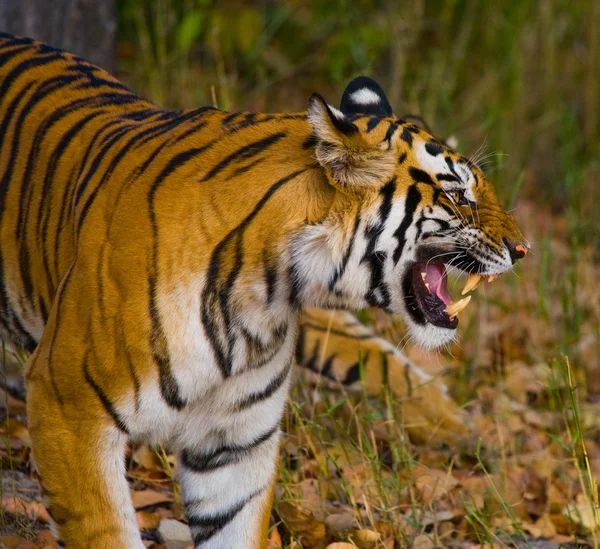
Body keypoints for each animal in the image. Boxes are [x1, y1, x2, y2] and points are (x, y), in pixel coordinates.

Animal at [0, 34, 524, 548]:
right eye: (458, 194)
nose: (522, 249)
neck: (267, 293)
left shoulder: (234, 442)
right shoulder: (67, 406)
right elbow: (105, 529)